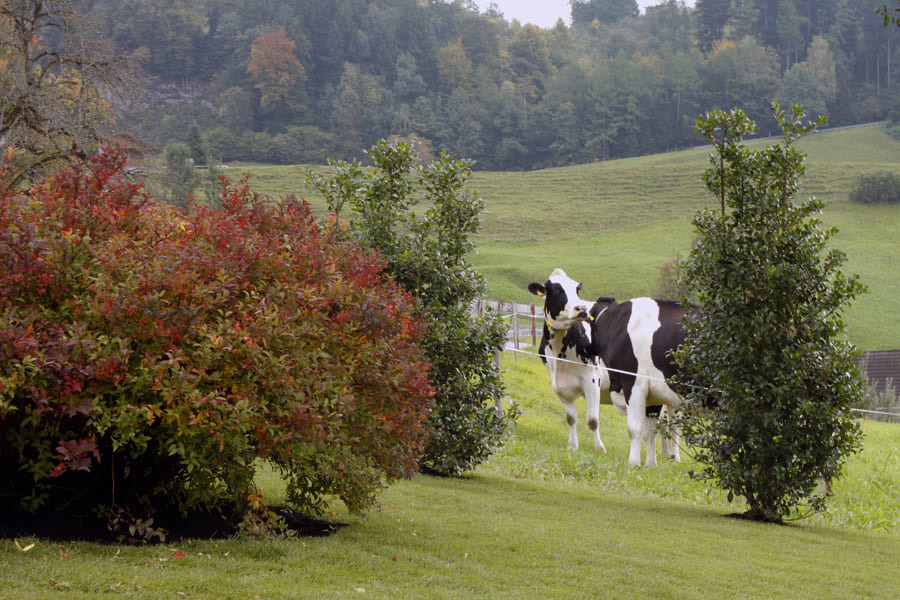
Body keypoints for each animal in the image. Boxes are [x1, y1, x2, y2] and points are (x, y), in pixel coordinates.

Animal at [528, 268, 684, 464]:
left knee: (673, 425)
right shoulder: (560, 385)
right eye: (556, 290)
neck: (560, 355)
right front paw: (572, 445)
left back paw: (675, 457)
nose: (581, 309)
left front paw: (600, 448)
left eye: (577, 289)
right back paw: (665, 454)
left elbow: (593, 420)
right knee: (663, 424)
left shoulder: (592, 380)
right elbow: (571, 418)